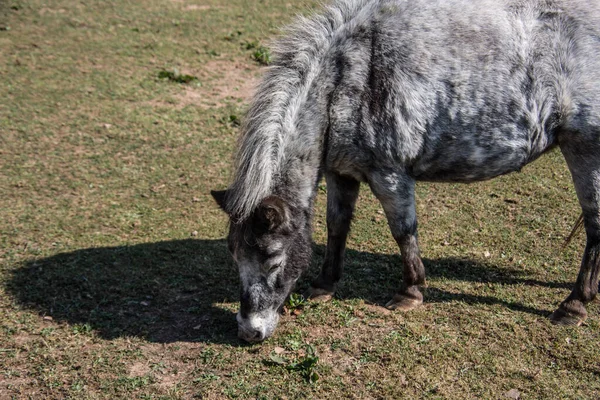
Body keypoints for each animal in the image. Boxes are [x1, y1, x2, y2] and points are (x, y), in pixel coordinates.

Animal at [211, 0, 600, 344]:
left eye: (273, 257)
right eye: (235, 254)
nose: (249, 331)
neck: (346, 78)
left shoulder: (390, 175)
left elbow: (403, 231)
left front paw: (410, 292)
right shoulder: (342, 173)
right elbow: (337, 226)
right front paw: (325, 284)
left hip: (586, 151)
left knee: (595, 226)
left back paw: (574, 305)